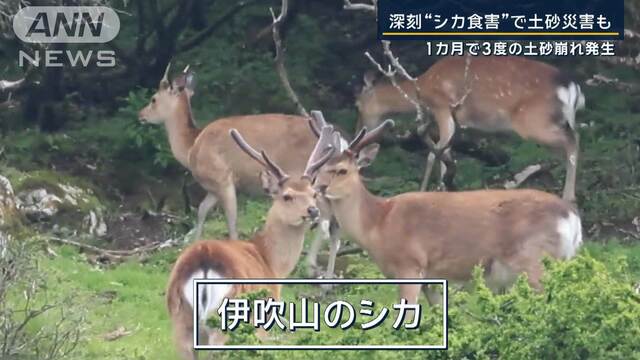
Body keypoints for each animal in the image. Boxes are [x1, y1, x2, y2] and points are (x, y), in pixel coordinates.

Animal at [136, 64, 344, 278]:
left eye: (153, 99)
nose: (140, 115)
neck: (191, 148)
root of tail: (339, 142)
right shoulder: (213, 188)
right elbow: (202, 210)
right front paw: (194, 244)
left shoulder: (223, 179)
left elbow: (231, 219)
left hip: (309, 176)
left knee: (325, 218)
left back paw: (311, 265)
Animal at [165, 123, 336, 358]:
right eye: (287, 196)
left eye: (313, 194)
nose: (313, 210)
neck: (271, 263)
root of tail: (203, 261)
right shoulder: (264, 317)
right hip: (226, 316)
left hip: (180, 319)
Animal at [308, 112, 584, 304]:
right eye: (317, 167)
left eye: (341, 170)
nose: (316, 187)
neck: (378, 223)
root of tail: (572, 218)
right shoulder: (432, 279)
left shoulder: (410, 264)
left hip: (537, 261)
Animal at [356, 55, 584, 202]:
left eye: (357, 105)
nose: (361, 130)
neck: (423, 88)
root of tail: (572, 87)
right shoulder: (453, 120)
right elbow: (445, 156)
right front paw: (443, 191)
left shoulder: (442, 106)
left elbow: (432, 154)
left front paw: (423, 190)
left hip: (533, 121)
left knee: (573, 139)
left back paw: (569, 197)